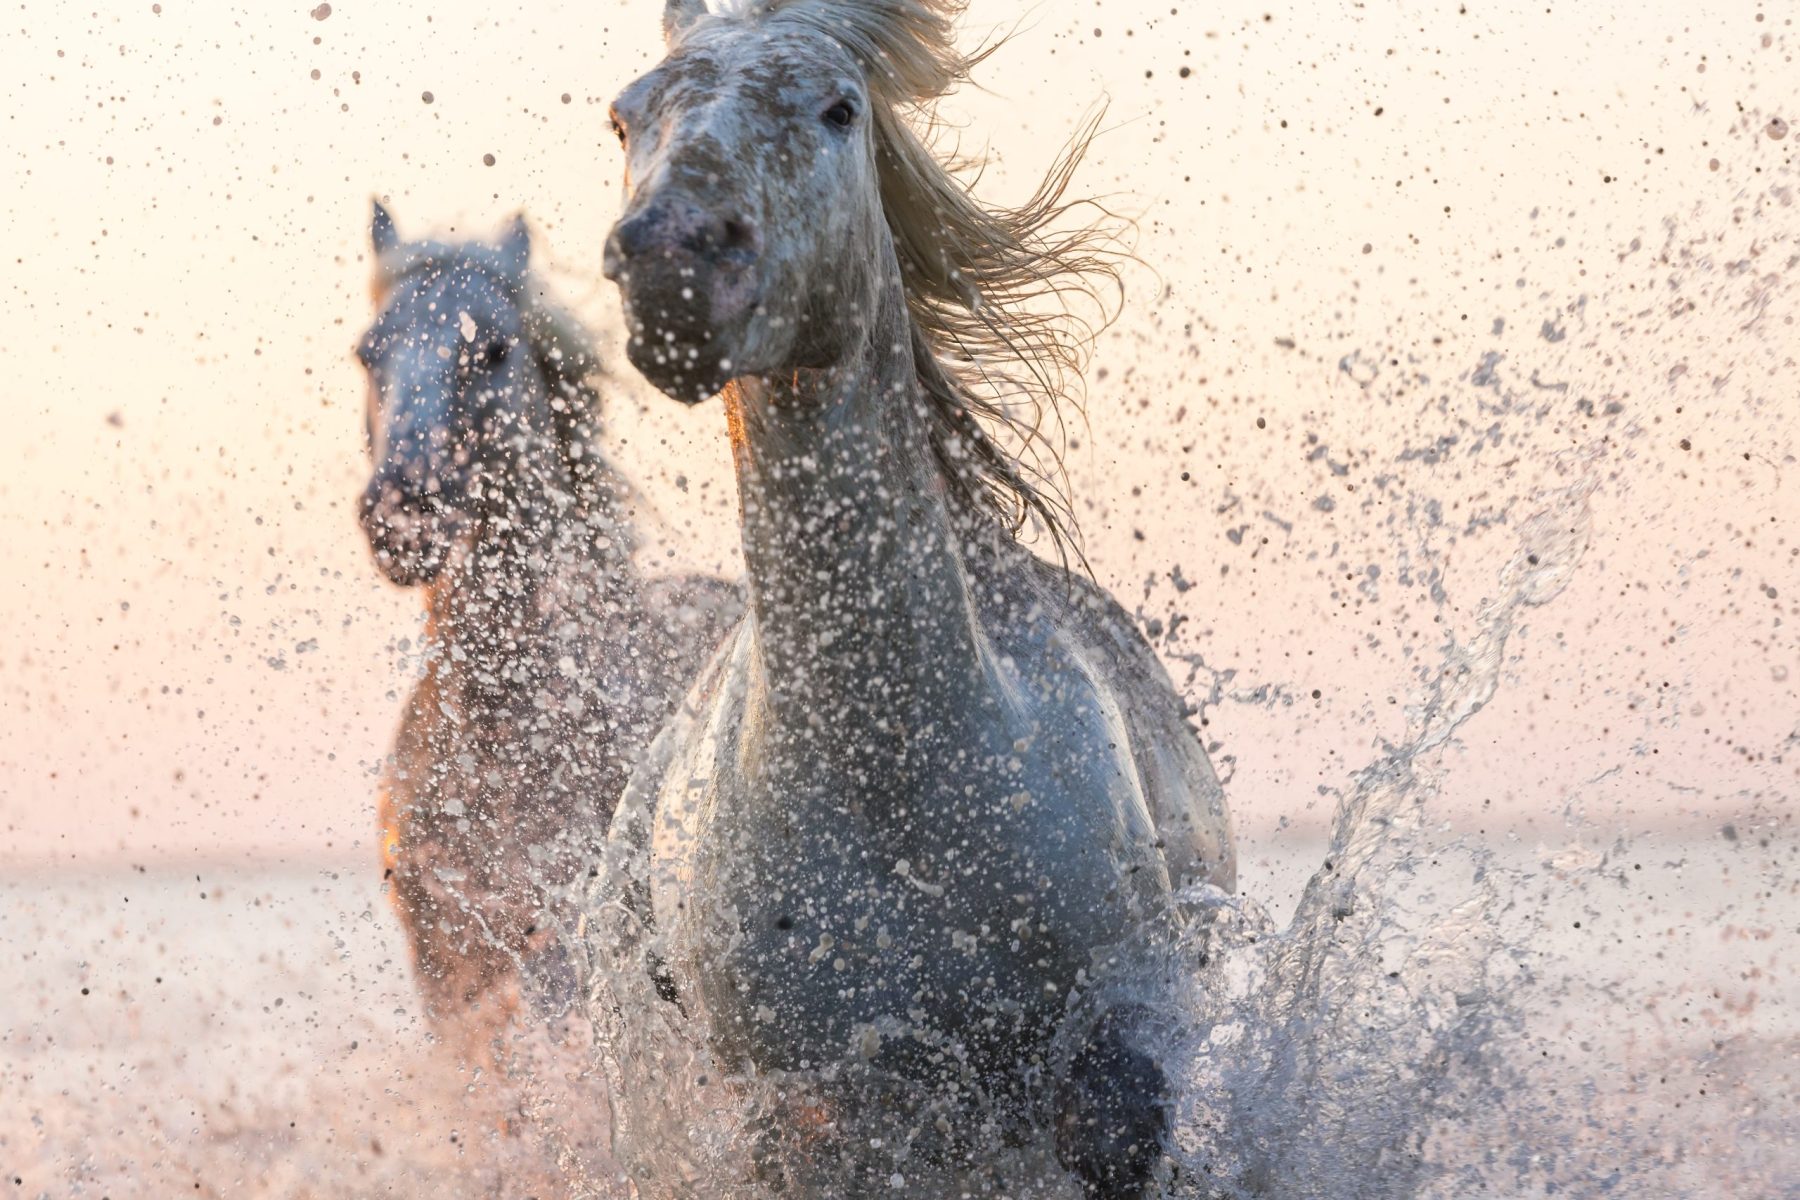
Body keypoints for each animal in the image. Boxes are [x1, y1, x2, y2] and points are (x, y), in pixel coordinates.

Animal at [588, 1, 1235, 1195]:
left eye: (840, 109)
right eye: (624, 115)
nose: (673, 268)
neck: (900, 772)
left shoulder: (1123, 1019)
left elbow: (1118, 1119)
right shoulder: (822, 1104)